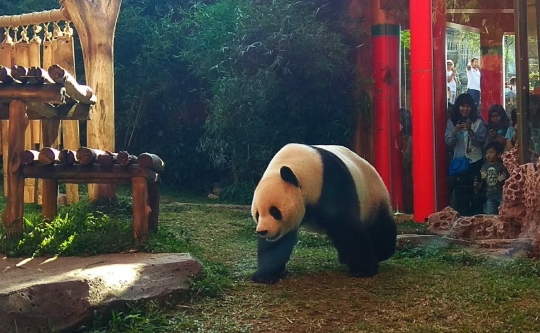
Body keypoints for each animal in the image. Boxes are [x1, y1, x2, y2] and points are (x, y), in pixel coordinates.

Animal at [251, 142, 398, 282]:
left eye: (275, 211)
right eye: (258, 214)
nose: (263, 231)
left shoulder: (332, 183)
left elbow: (347, 225)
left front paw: (364, 269)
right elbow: (276, 244)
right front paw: (265, 275)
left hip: (373, 196)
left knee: (380, 228)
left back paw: (381, 252)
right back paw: (345, 257)